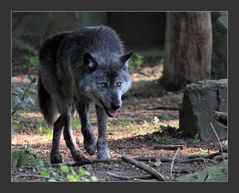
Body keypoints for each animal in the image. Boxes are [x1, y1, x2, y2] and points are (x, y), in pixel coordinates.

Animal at [37, 25, 133, 164]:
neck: (102, 51)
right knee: (67, 131)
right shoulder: (80, 99)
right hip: (66, 103)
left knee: (57, 124)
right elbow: (86, 126)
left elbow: (102, 130)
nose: (116, 106)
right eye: (103, 84)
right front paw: (90, 145)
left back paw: (55, 156)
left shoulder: (102, 105)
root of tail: (44, 44)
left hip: (71, 107)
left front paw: (103, 153)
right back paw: (78, 156)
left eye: (119, 84)